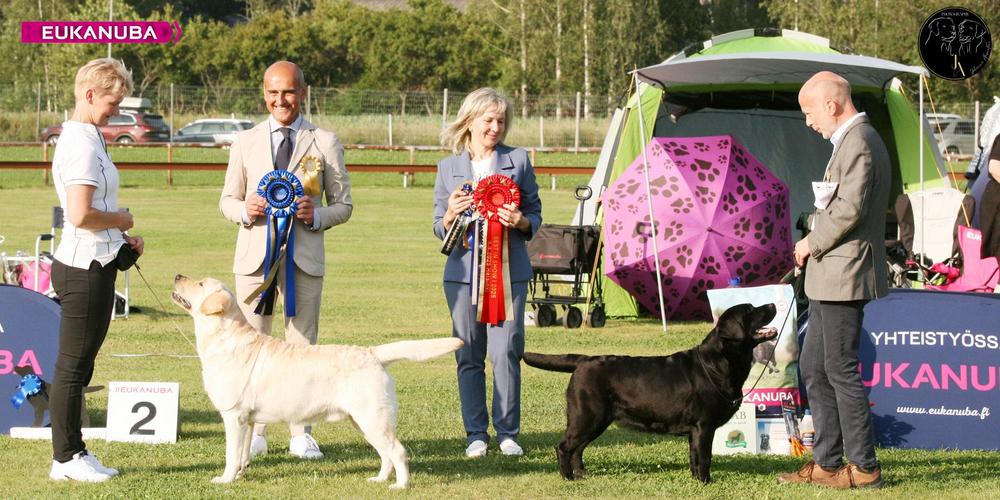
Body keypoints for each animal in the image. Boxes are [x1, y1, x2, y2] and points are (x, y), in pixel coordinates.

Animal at [171, 275, 462, 488]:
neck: (223, 338)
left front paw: (225, 479)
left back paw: (400, 486)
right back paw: (379, 479)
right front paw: (241, 475)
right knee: (385, 454)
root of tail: (372, 352)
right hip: (363, 421)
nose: (177, 275)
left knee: (398, 451)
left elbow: (231, 454)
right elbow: (242, 453)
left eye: (200, 284)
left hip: (373, 419)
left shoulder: (234, 415)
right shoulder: (248, 420)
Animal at [523, 303, 776, 483]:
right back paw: (568, 478)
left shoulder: (694, 431)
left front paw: (696, 480)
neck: (717, 363)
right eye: (750, 310)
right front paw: (706, 482)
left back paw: (581, 474)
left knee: (578, 448)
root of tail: (583, 361)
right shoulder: (704, 426)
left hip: (595, 420)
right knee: (564, 447)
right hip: (587, 417)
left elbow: (694, 457)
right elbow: (705, 457)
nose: (773, 304)